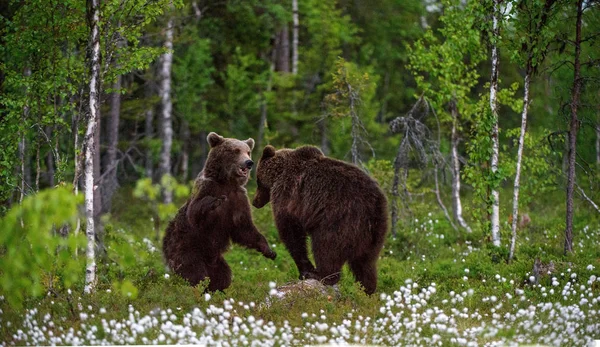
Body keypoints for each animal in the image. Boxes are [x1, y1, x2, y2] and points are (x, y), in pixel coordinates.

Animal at [163, 132, 278, 292]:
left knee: (223, 275)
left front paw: (269, 250)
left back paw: (218, 290)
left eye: (248, 151)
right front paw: (215, 202)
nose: (249, 162)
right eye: (236, 150)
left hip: (216, 261)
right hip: (186, 249)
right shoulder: (207, 188)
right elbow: (195, 213)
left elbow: (244, 228)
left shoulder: (239, 199)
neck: (227, 182)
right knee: (193, 272)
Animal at [251, 145, 386, 294]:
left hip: (340, 220)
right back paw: (366, 289)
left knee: (326, 247)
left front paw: (305, 270)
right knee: (365, 262)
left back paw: (322, 275)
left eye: (257, 180)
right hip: (374, 232)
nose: (254, 201)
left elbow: (291, 232)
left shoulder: (287, 194)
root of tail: (374, 205)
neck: (279, 173)